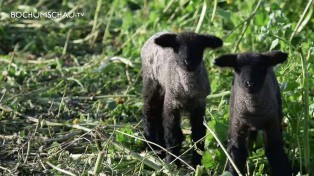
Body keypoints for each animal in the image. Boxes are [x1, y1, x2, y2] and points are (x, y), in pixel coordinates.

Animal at [140, 31, 223, 166]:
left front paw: (197, 163)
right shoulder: (172, 105)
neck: (188, 92)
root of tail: (156, 34)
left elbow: (198, 135)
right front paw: (172, 163)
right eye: (177, 47)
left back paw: (160, 149)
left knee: (158, 117)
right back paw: (152, 147)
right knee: (149, 113)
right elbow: (173, 136)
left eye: (199, 47)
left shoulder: (199, 106)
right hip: (151, 82)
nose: (188, 61)